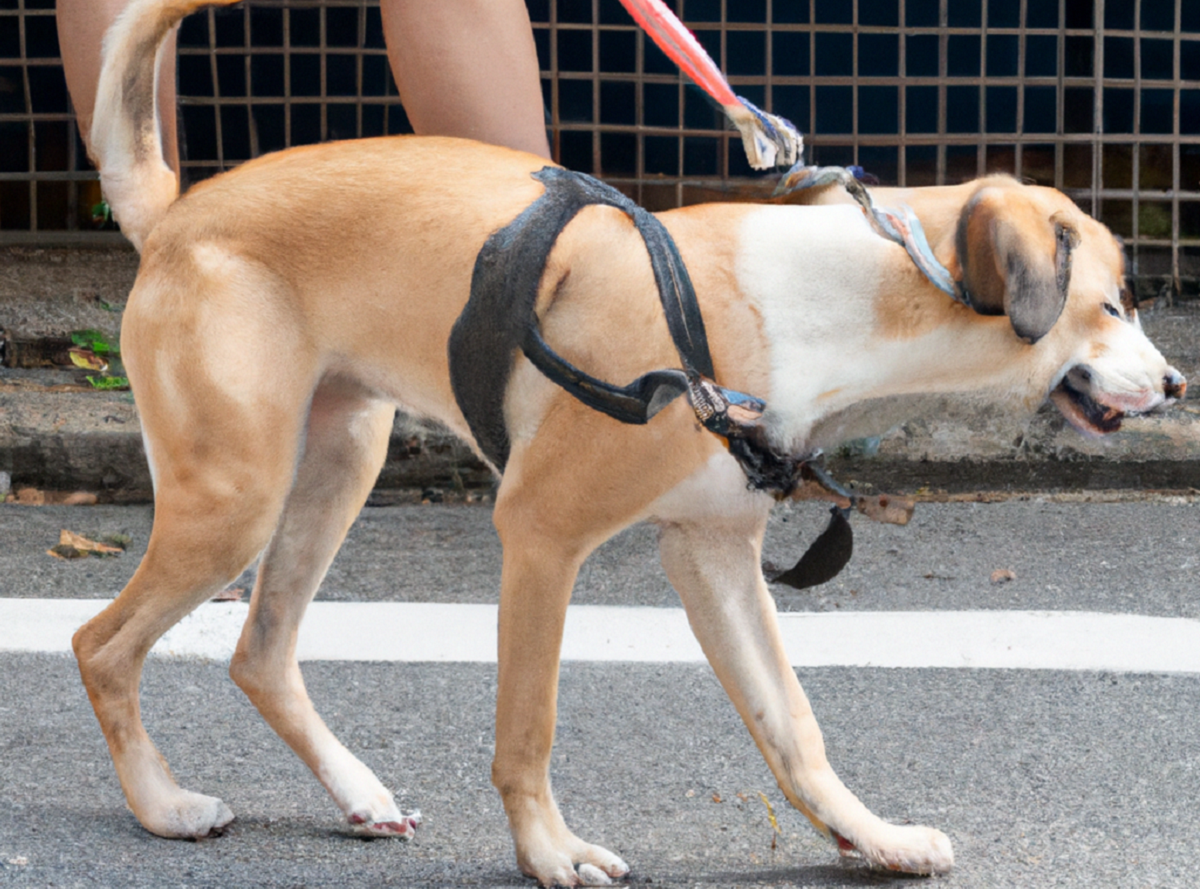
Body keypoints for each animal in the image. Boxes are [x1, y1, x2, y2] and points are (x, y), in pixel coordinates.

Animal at [79, 1, 1185, 883]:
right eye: (1114, 302)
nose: (1177, 384)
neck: (831, 307)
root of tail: (176, 212)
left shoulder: (715, 556)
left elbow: (793, 725)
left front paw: (868, 835)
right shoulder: (539, 535)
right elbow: (529, 726)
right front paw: (549, 852)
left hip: (338, 463)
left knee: (260, 653)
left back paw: (356, 793)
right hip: (237, 497)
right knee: (103, 645)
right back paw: (163, 805)